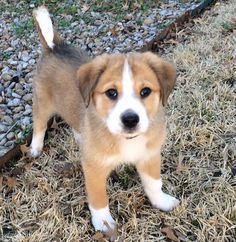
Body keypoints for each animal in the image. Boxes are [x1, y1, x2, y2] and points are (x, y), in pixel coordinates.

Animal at [30, 6, 179, 237]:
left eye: (145, 91)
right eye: (111, 92)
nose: (130, 119)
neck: (126, 140)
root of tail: (55, 47)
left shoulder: (150, 155)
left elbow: (154, 183)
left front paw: (161, 201)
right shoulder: (94, 168)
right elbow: (99, 199)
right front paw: (104, 224)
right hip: (43, 103)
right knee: (39, 123)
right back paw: (35, 147)